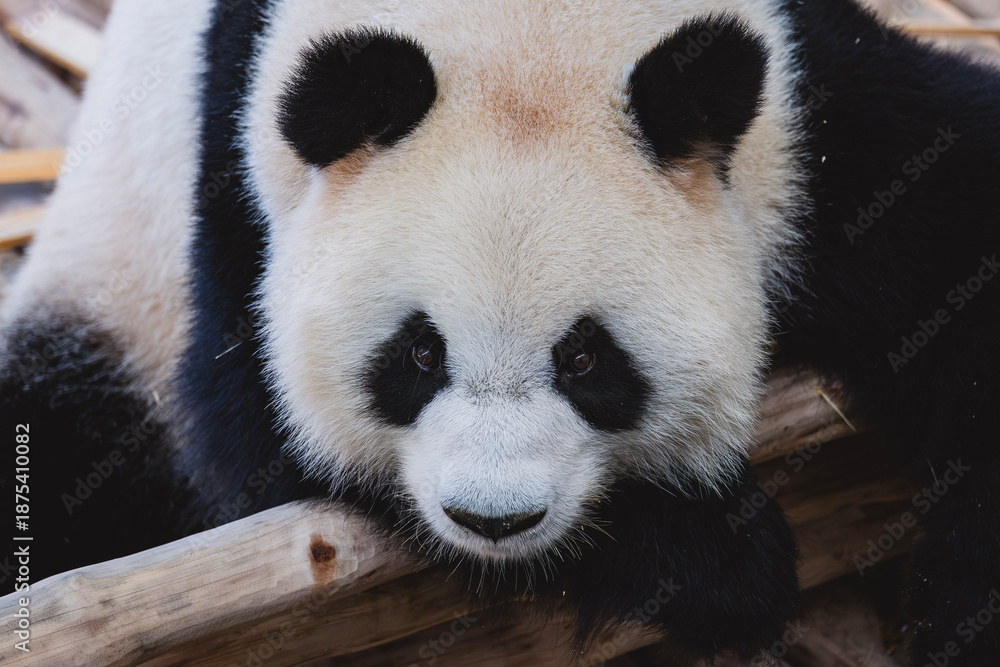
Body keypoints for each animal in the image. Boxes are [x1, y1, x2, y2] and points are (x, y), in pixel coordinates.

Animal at [1, 0, 998, 662]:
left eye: (587, 357)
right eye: (419, 352)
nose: (494, 518)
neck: (523, 28)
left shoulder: (801, 118)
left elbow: (958, 244)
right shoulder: (242, 182)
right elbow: (258, 451)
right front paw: (711, 557)